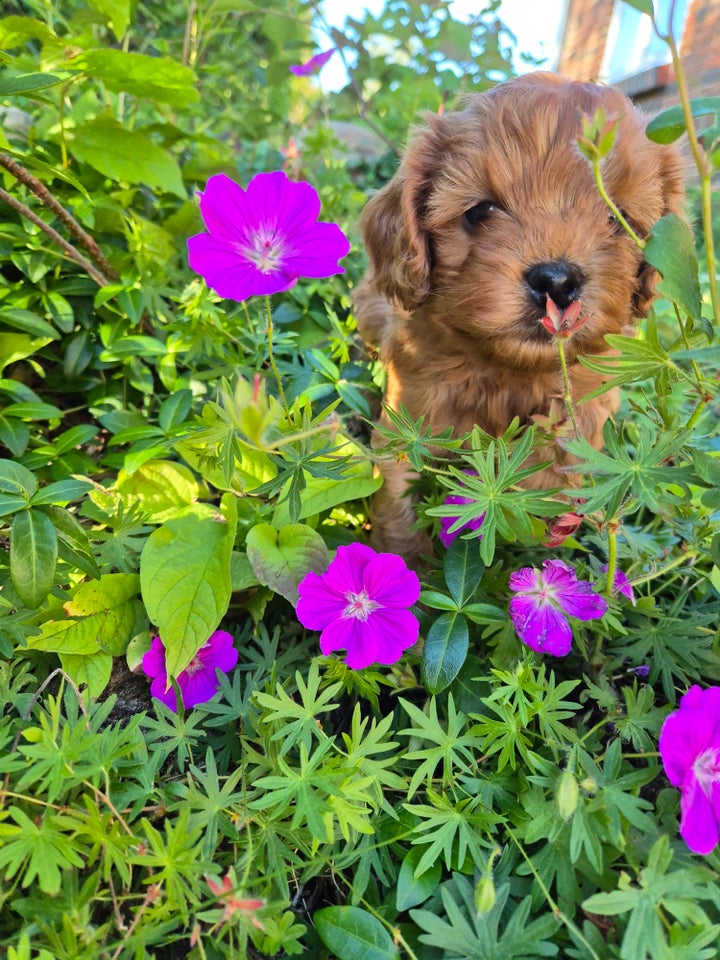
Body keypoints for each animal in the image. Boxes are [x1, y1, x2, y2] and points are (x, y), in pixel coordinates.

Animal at [358, 73, 684, 564]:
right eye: (480, 212)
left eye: (617, 219)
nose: (557, 281)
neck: (508, 369)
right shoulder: (408, 417)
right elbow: (399, 494)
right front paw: (406, 562)